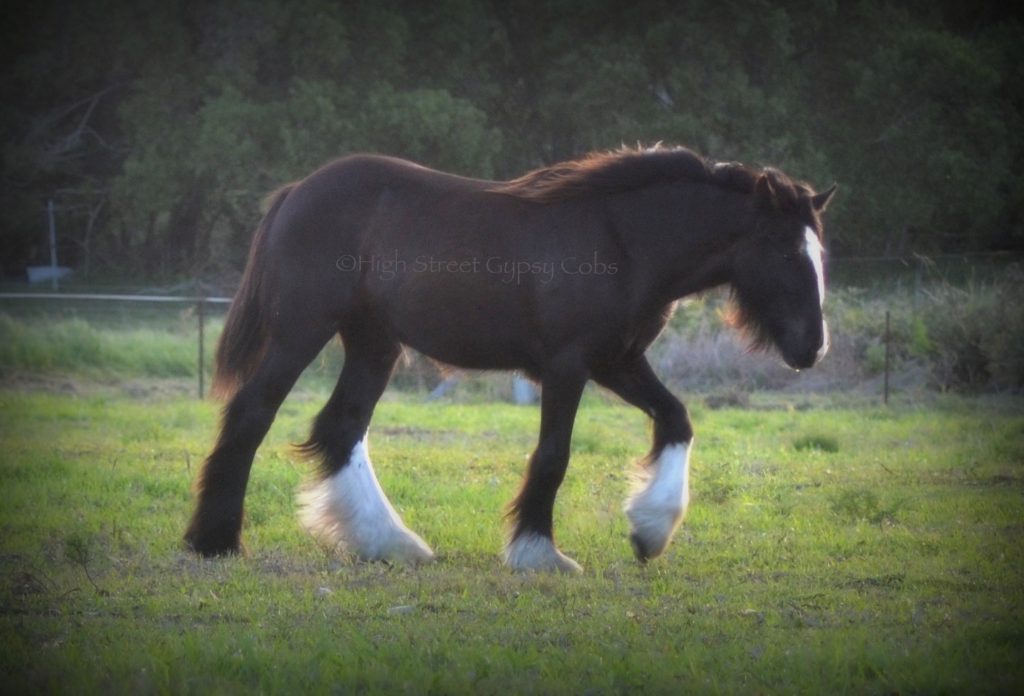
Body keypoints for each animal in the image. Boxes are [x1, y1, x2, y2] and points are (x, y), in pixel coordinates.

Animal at [184, 145, 835, 569]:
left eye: (817, 249)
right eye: (784, 249)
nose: (813, 346)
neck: (621, 240)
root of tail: (298, 191)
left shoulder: (618, 361)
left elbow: (677, 418)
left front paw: (649, 532)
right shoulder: (569, 365)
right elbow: (553, 455)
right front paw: (538, 552)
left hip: (374, 342)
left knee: (341, 427)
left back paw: (390, 544)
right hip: (302, 330)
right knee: (252, 414)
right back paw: (214, 541)